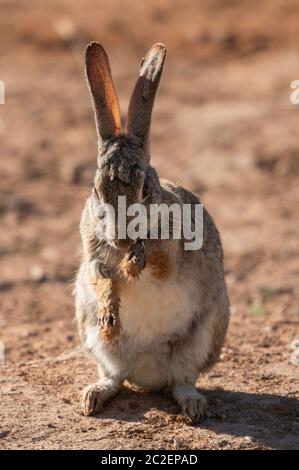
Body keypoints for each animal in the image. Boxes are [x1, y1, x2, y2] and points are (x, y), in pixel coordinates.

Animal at [74, 41, 230, 422]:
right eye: (97, 189)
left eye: (145, 189)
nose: (121, 237)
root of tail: (147, 375)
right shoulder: (91, 252)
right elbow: (100, 274)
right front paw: (112, 306)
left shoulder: (173, 251)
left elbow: (159, 261)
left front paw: (134, 262)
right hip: (93, 336)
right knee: (114, 376)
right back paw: (93, 396)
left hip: (203, 333)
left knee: (181, 380)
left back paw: (193, 406)